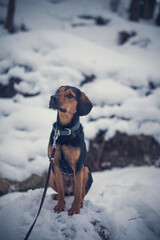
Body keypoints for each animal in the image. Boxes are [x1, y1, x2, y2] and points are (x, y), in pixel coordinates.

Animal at [48, 86, 94, 216]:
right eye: (58, 91)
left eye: (70, 95)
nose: (53, 97)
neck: (64, 130)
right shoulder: (55, 164)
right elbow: (61, 190)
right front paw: (60, 205)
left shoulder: (78, 166)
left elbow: (78, 191)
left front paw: (75, 209)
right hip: (51, 176)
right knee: (64, 192)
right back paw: (57, 196)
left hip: (86, 169)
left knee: (81, 193)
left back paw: (80, 203)